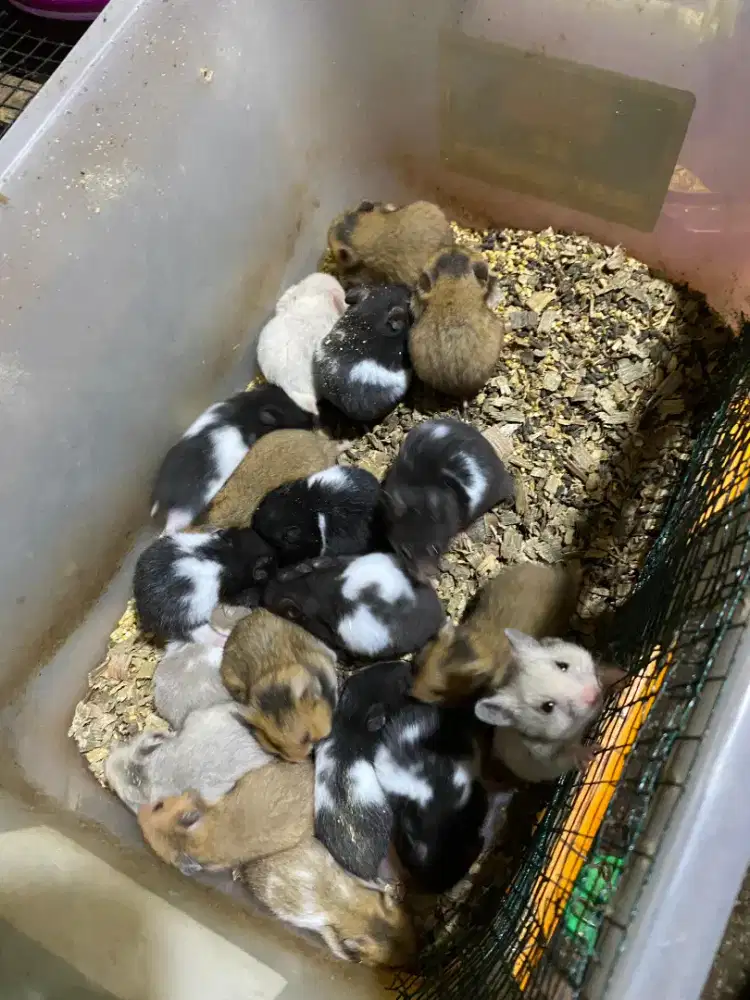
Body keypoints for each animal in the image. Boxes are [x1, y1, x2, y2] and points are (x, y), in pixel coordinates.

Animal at [475, 631, 626, 783]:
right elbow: (566, 756)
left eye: (562, 665)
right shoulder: (544, 757)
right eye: (547, 707)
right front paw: (590, 753)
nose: (594, 695)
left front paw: (621, 677)